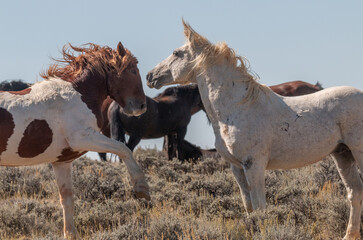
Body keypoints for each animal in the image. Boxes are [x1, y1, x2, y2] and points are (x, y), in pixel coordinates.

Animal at [146, 21, 363, 240]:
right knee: (355, 192)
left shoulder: (254, 166)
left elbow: (260, 206)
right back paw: (349, 235)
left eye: (176, 53)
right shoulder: (237, 167)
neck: (238, 107)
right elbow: (249, 206)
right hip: (342, 154)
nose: (150, 76)